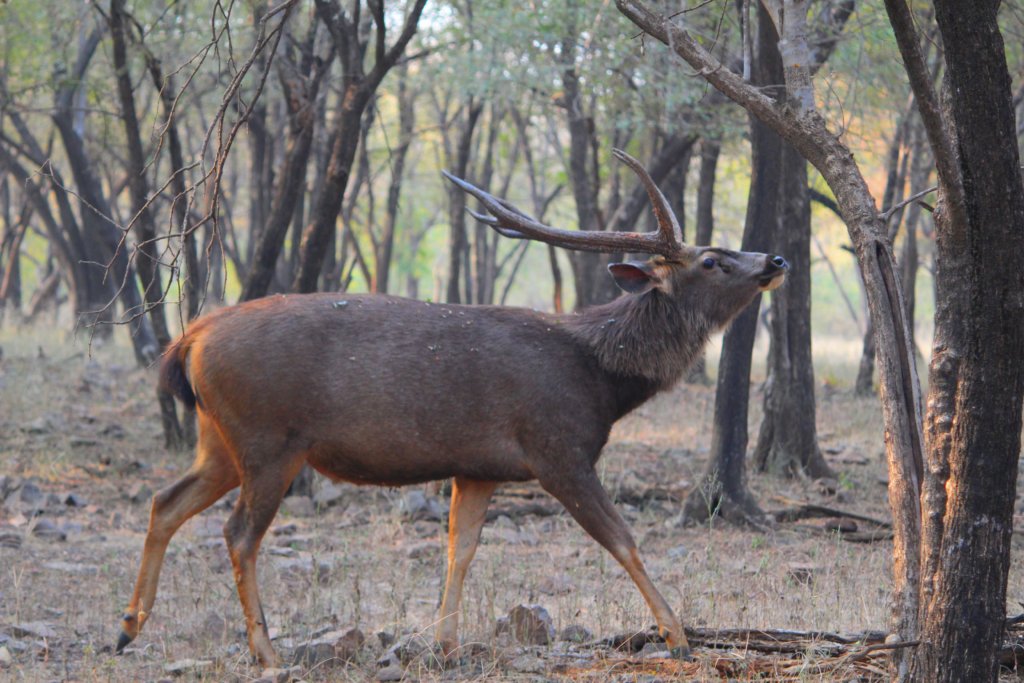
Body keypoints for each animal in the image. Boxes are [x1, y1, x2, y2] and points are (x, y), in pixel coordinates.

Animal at [119, 149, 786, 667]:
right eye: (711, 259)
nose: (775, 259)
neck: (599, 380)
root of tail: (191, 340)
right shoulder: (557, 450)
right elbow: (623, 539)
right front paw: (678, 636)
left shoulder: (479, 466)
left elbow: (459, 551)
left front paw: (444, 645)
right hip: (268, 440)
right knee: (237, 534)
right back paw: (265, 652)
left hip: (219, 438)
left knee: (164, 500)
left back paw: (128, 628)